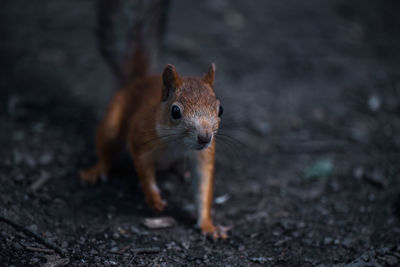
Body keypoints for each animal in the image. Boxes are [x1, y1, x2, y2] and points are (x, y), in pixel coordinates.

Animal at [79, 0, 227, 241]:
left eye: (220, 109)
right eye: (175, 111)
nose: (205, 137)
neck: (178, 144)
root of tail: (137, 81)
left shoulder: (203, 157)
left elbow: (203, 188)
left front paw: (208, 225)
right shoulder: (141, 139)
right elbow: (143, 168)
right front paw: (154, 199)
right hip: (112, 123)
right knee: (106, 148)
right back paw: (95, 170)